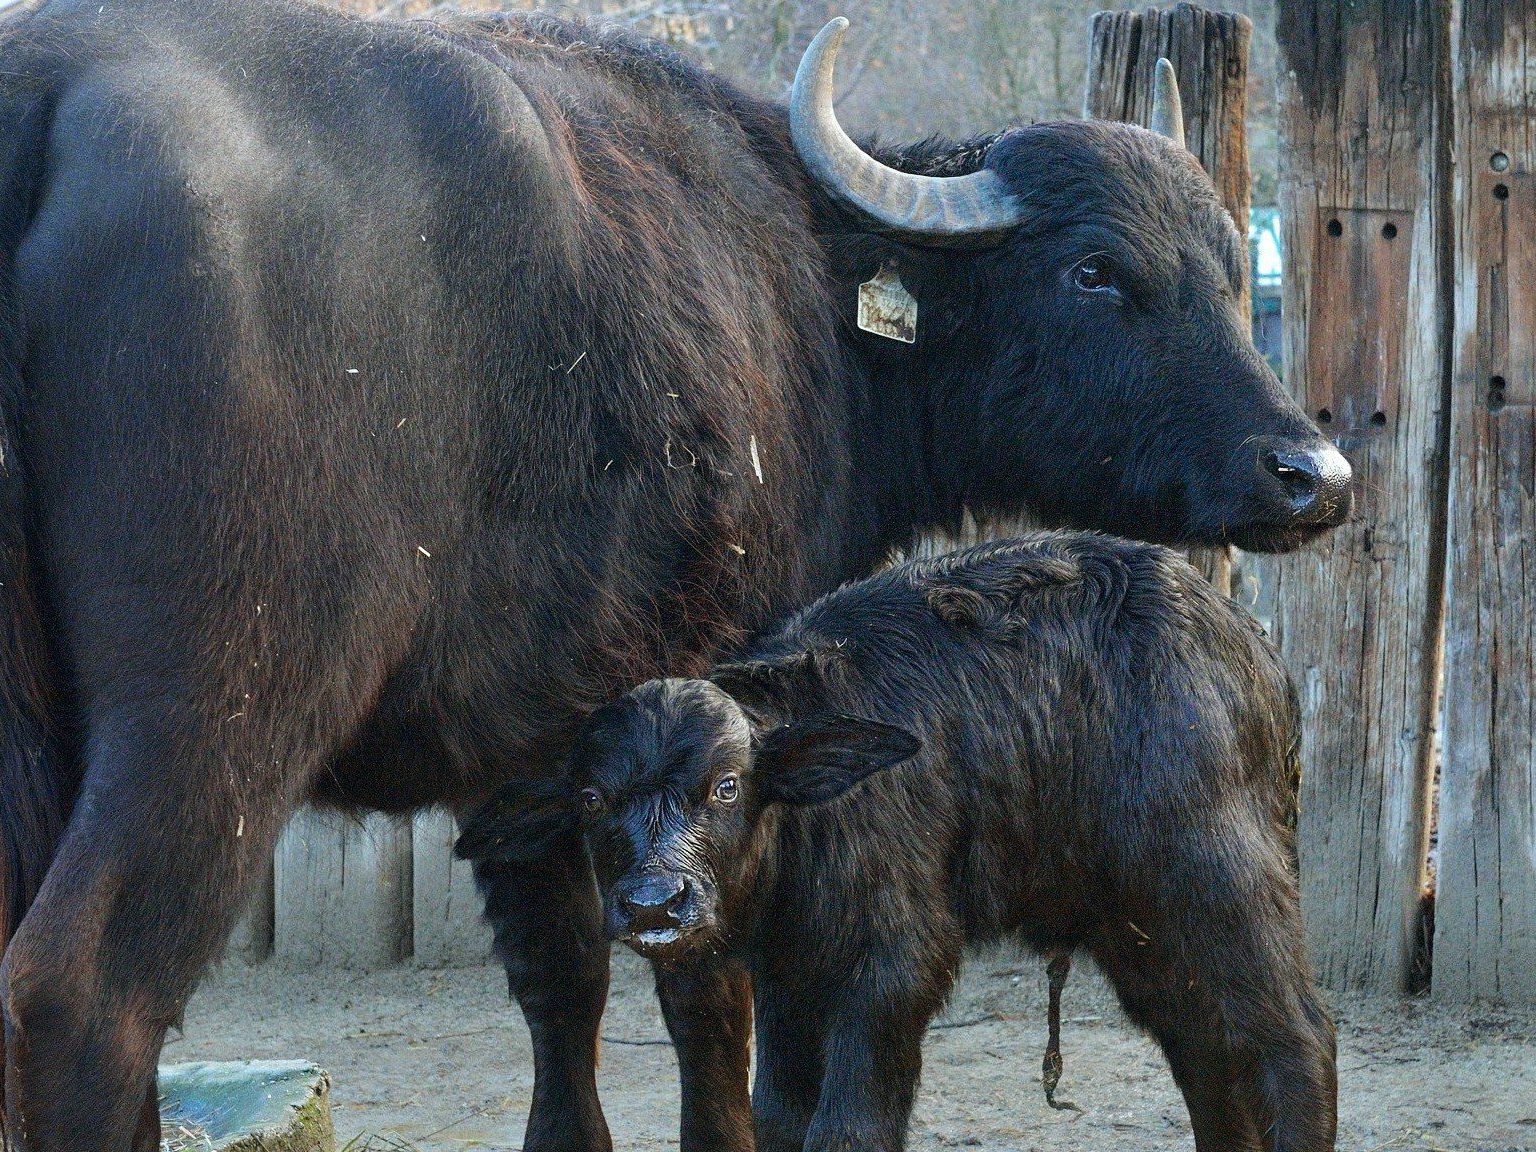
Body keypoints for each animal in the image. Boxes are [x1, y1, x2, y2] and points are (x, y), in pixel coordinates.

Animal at [460, 537, 1339, 1152]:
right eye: (590, 799)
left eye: (727, 786)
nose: (654, 905)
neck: (804, 834)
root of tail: (1254, 648)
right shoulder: (788, 977)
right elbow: (777, 1118)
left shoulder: (892, 967)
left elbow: (846, 1129)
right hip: (1137, 923)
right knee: (1206, 1045)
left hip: (1219, 875)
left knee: (1296, 1038)